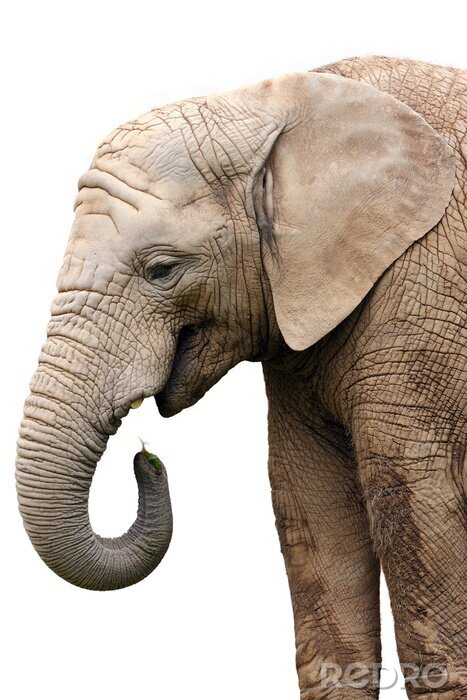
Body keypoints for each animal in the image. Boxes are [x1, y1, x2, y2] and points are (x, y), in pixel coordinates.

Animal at [16, 55, 466, 699]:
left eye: (162, 270)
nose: (146, 457)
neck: (277, 107)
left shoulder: (425, 298)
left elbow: (411, 495)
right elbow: (311, 500)